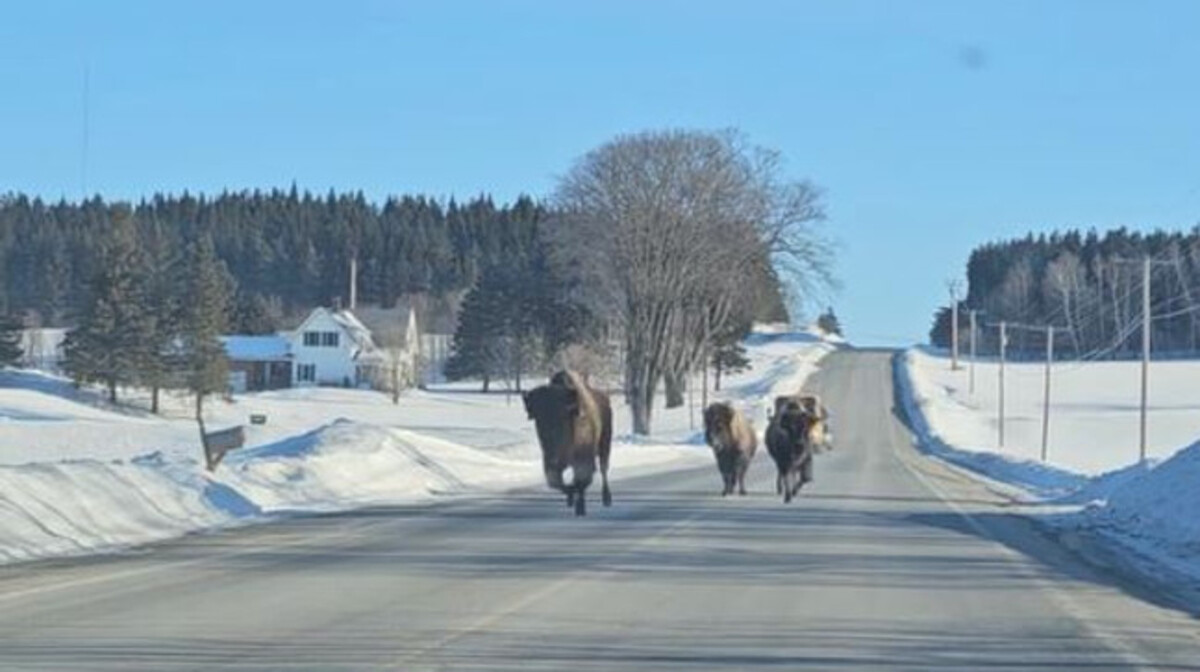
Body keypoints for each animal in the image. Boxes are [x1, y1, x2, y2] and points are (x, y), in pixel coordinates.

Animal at [522, 370, 613, 516]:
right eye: (538, 418)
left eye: (562, 417)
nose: (554, 459)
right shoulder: (550, 463)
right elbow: (558, 483)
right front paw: (571, 497)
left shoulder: (583, 460)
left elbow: (581, 480)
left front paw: (579, 506)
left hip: (605, 445)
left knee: (603, 469)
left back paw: (606, 499)